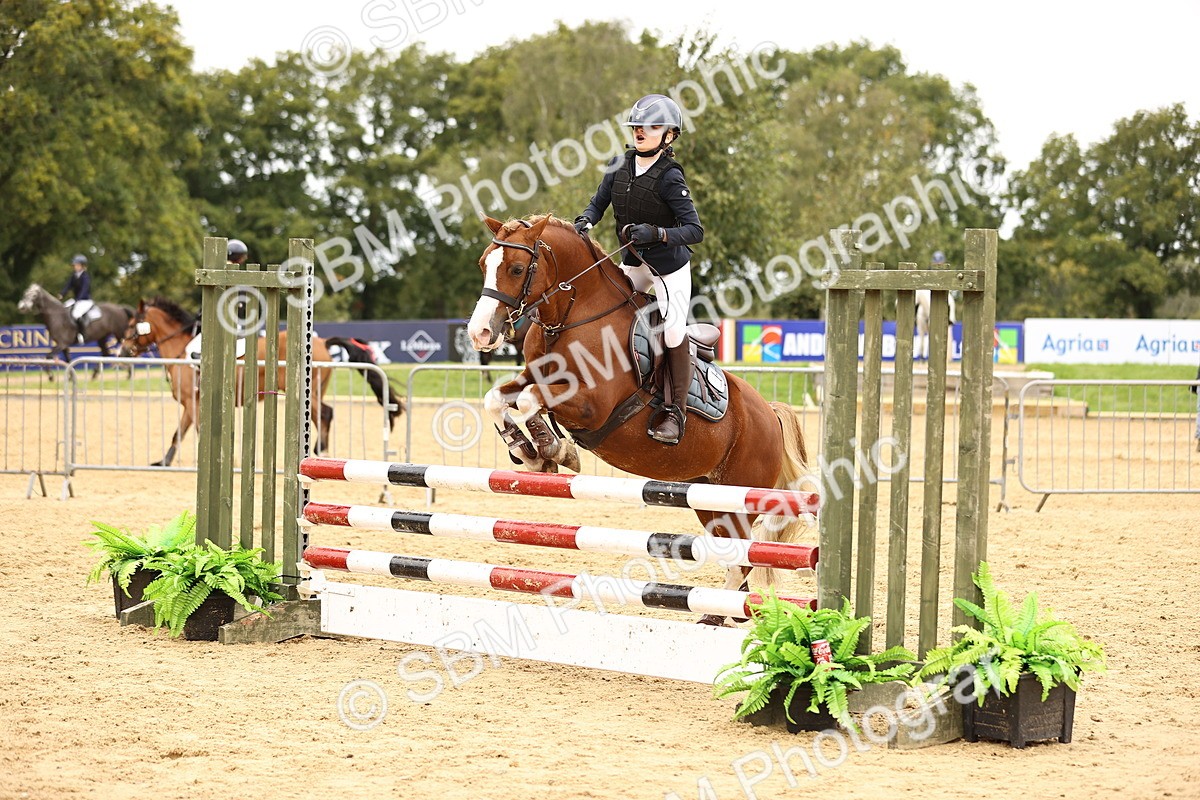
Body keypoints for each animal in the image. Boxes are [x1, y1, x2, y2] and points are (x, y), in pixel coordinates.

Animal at [119, 297, 334, 467]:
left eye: (131, 325)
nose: (121, 353)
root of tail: (322, 343)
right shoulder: (189, 403)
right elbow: (178, 433)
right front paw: (164, 462)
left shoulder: (192, 402)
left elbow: (197, 431)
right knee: (321, 416)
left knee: (324, 413)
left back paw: (322, 450)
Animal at [467, 215, 811, 626]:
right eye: (484, 264)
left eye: (517, 269)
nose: (479, 333)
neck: (570, 318)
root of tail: (769, 414)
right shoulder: (533, 377)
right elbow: (496, 399)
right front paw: (528, 452)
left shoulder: (592, 405)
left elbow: (531, 400)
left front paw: (553, 449)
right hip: (707, 497)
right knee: (733, 554)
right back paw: (723, 615)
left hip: (739, 496)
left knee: (741, 558)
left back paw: (713, 619)